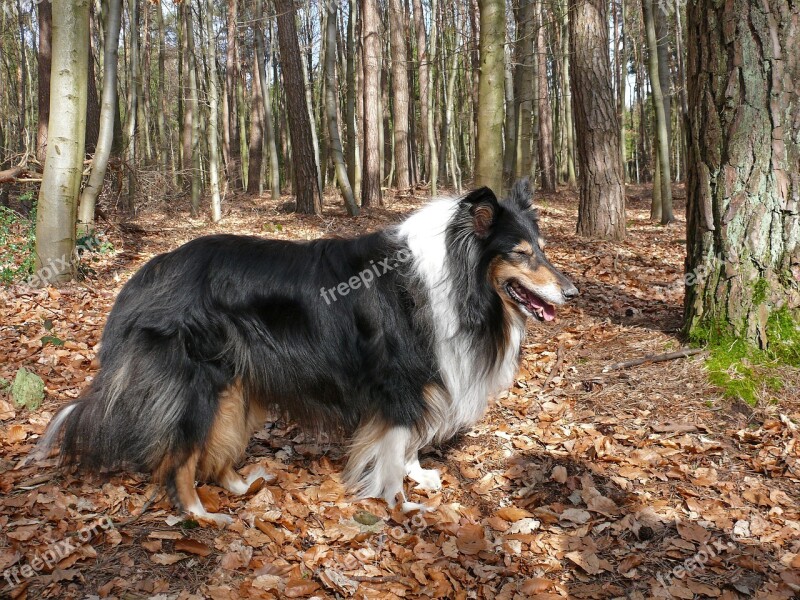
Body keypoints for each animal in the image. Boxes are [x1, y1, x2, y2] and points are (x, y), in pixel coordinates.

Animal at [34, 180, 580, 524]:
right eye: (521, 253)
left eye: (542, 248)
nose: (572, 292)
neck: (455, 274)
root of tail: (147, 273)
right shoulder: (397, 382)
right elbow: (393, 446)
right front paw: (399, 503)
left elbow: (405, 444)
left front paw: (417, 475)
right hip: (199, 383)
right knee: (181, 457)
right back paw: (200, 515)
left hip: (238, 383)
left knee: (215, 449)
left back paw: (243, 486)